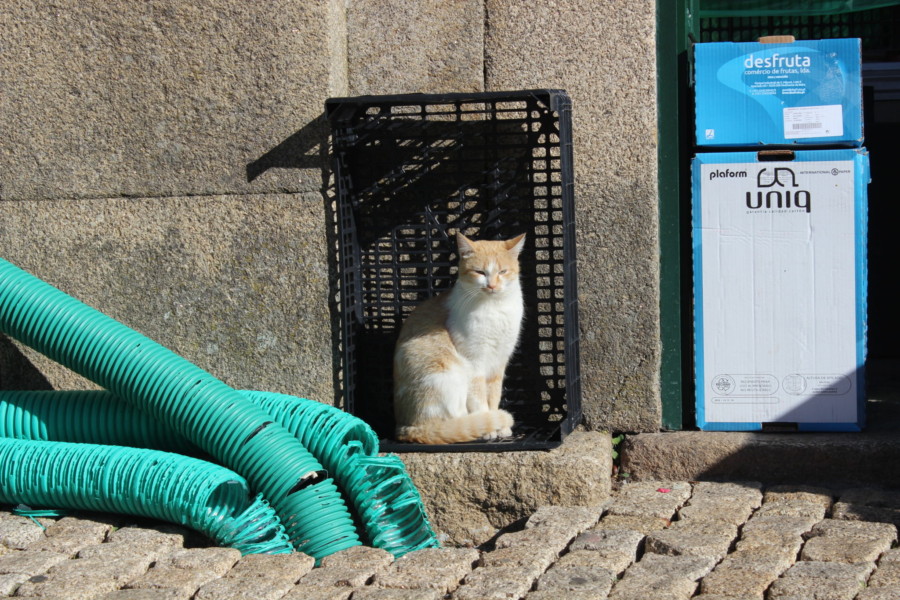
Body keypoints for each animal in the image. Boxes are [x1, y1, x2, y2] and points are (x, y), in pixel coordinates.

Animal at [390, 232, 524, 442]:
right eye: (480, 272)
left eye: (502, 271)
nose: (492, 286)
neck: (494, 307)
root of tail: (408, 428)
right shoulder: (475, 362)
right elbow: (479, 399)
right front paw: (489, 425)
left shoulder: (498, 362)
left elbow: (494, 395)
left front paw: (500, 426)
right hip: (450, 373)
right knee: (455, 421)